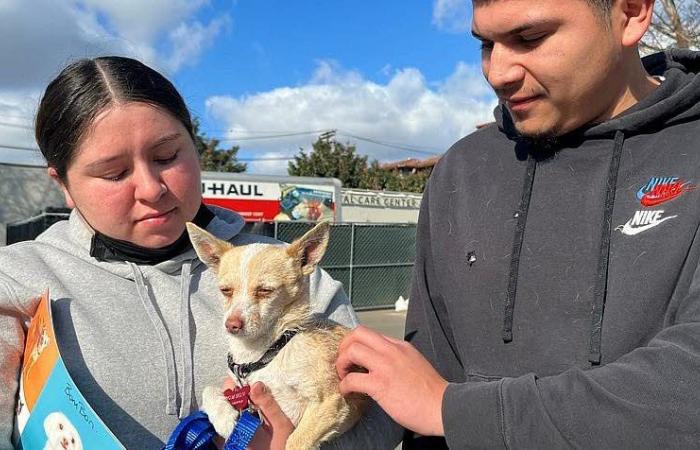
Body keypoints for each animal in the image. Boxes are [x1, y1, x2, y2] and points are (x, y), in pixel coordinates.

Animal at [189, 222, 370, 450]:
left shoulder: (332, 403)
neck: (269, 349)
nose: (231, 324)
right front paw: (223, 416)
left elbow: (294, 442)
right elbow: (208, 389)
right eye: (225, 291)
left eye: (265, 290)